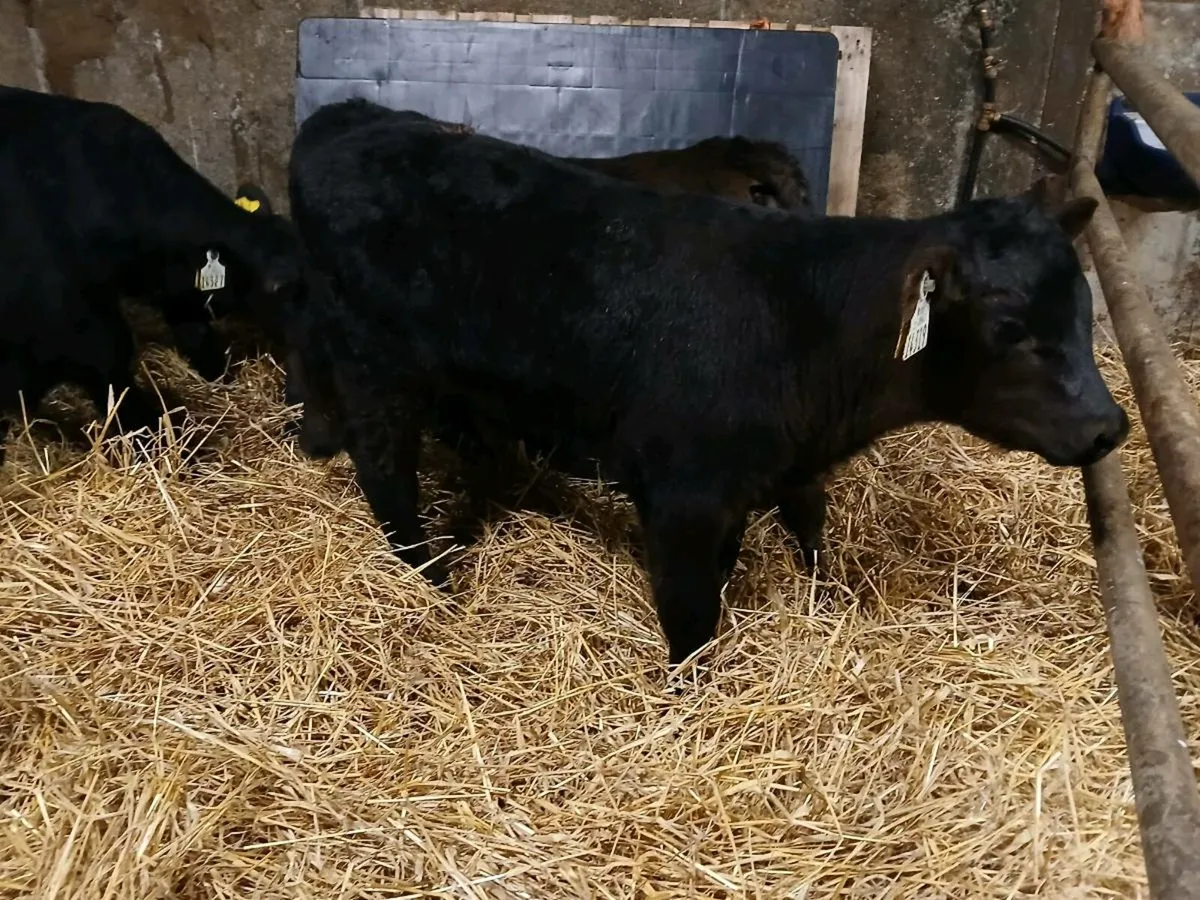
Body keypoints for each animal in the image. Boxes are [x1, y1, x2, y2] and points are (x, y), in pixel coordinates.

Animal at [286, 102, 1128, 666]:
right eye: (1010, 329)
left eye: (1084, 309)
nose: (1109, 427)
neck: (805, 322)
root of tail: (354, 118)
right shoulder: (683, 498)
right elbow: (690, 619)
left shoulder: (748, 488)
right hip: (374, 369)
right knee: (384, 471)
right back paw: (429, 578)